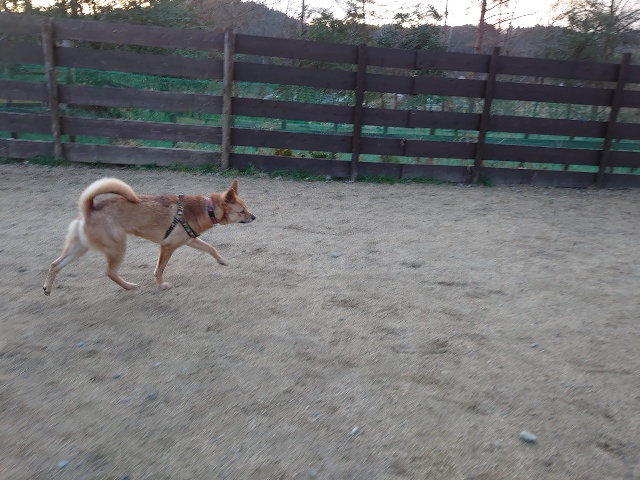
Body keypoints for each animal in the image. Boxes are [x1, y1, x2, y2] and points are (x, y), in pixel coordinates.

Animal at [43, 177, 255, 295]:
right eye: (242, 211)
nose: (254, 217)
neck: (207, 208)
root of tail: (89, 209)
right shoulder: (168, 246)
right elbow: (160, 269)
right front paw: (161, 286)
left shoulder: (190, 239)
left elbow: (211, 248)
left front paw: (223, 261)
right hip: (118, 247)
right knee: (110, 272)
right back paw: (129, 286)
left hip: (79, 248)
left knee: (55, 265)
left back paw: (47, 288)